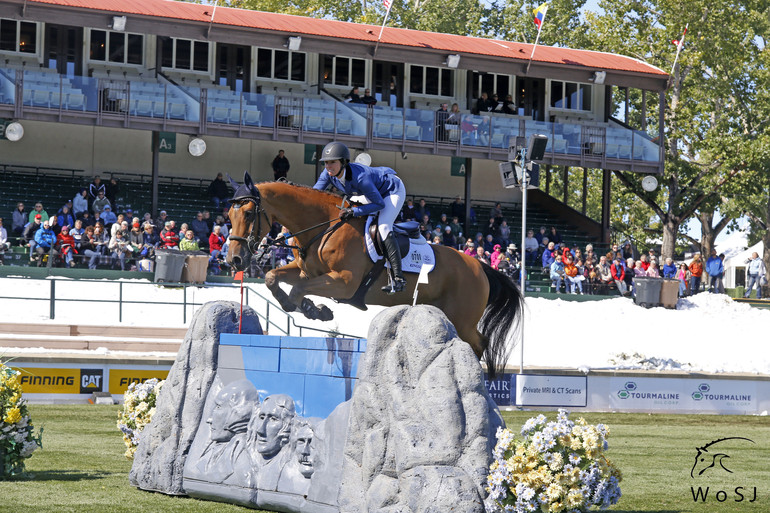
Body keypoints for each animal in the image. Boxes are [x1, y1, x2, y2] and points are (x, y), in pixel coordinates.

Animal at [224, 172, 520, 376]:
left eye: (248, 213)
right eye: (229, 214)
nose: (235, 259)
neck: (323, 226)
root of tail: (479, 267)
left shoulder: (343, 282)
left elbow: (297, 291)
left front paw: (312, 309)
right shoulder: (307, 272)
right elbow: (272, 277)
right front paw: (311, 308)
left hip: (463, 318)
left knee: (479, 343)